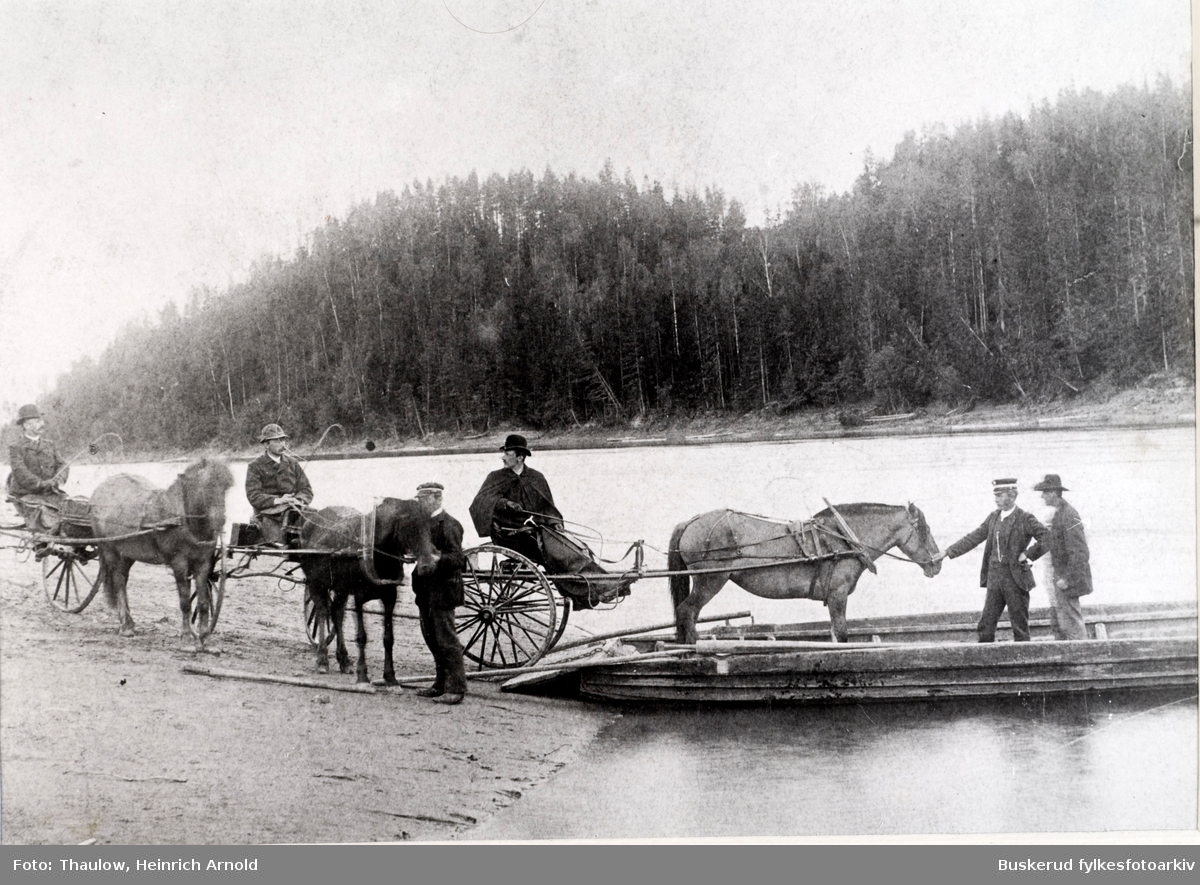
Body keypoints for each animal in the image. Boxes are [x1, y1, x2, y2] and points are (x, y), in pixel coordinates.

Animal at [89, 458, 234, 642]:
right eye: (205, 485)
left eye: (226, 487)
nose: (220, 521)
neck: (183, 519)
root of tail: (99, 489)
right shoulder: (179, 563)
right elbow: (185, 601)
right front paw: (186, 633)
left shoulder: (203, 563)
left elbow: (203, 603)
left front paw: (204, 635)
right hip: (110, 550)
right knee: (119, 583)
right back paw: (125, 626)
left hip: (127, 554)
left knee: (123, 579)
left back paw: (129, 622)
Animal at [297, 496, 439, 681]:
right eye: (409, 525)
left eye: (430, 526)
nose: (429, 565)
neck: (375, 551)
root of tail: (309, 522)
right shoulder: (358, 596)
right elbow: (362, 636)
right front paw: (363, 675)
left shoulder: (390, 596)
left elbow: (388, 638)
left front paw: (390, 677)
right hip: (316, 583)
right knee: (322, 612)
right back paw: (322, 659)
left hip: (341, 587)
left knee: (337, 613)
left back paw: (344, 660)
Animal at [672, 503, 940, 642]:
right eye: (925, 530)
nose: (937, 563)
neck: (841, 537)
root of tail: (689, 522)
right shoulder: (837, 594)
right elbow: (841, 633)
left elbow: (834, 633)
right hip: (710, 580)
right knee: (686, 611)